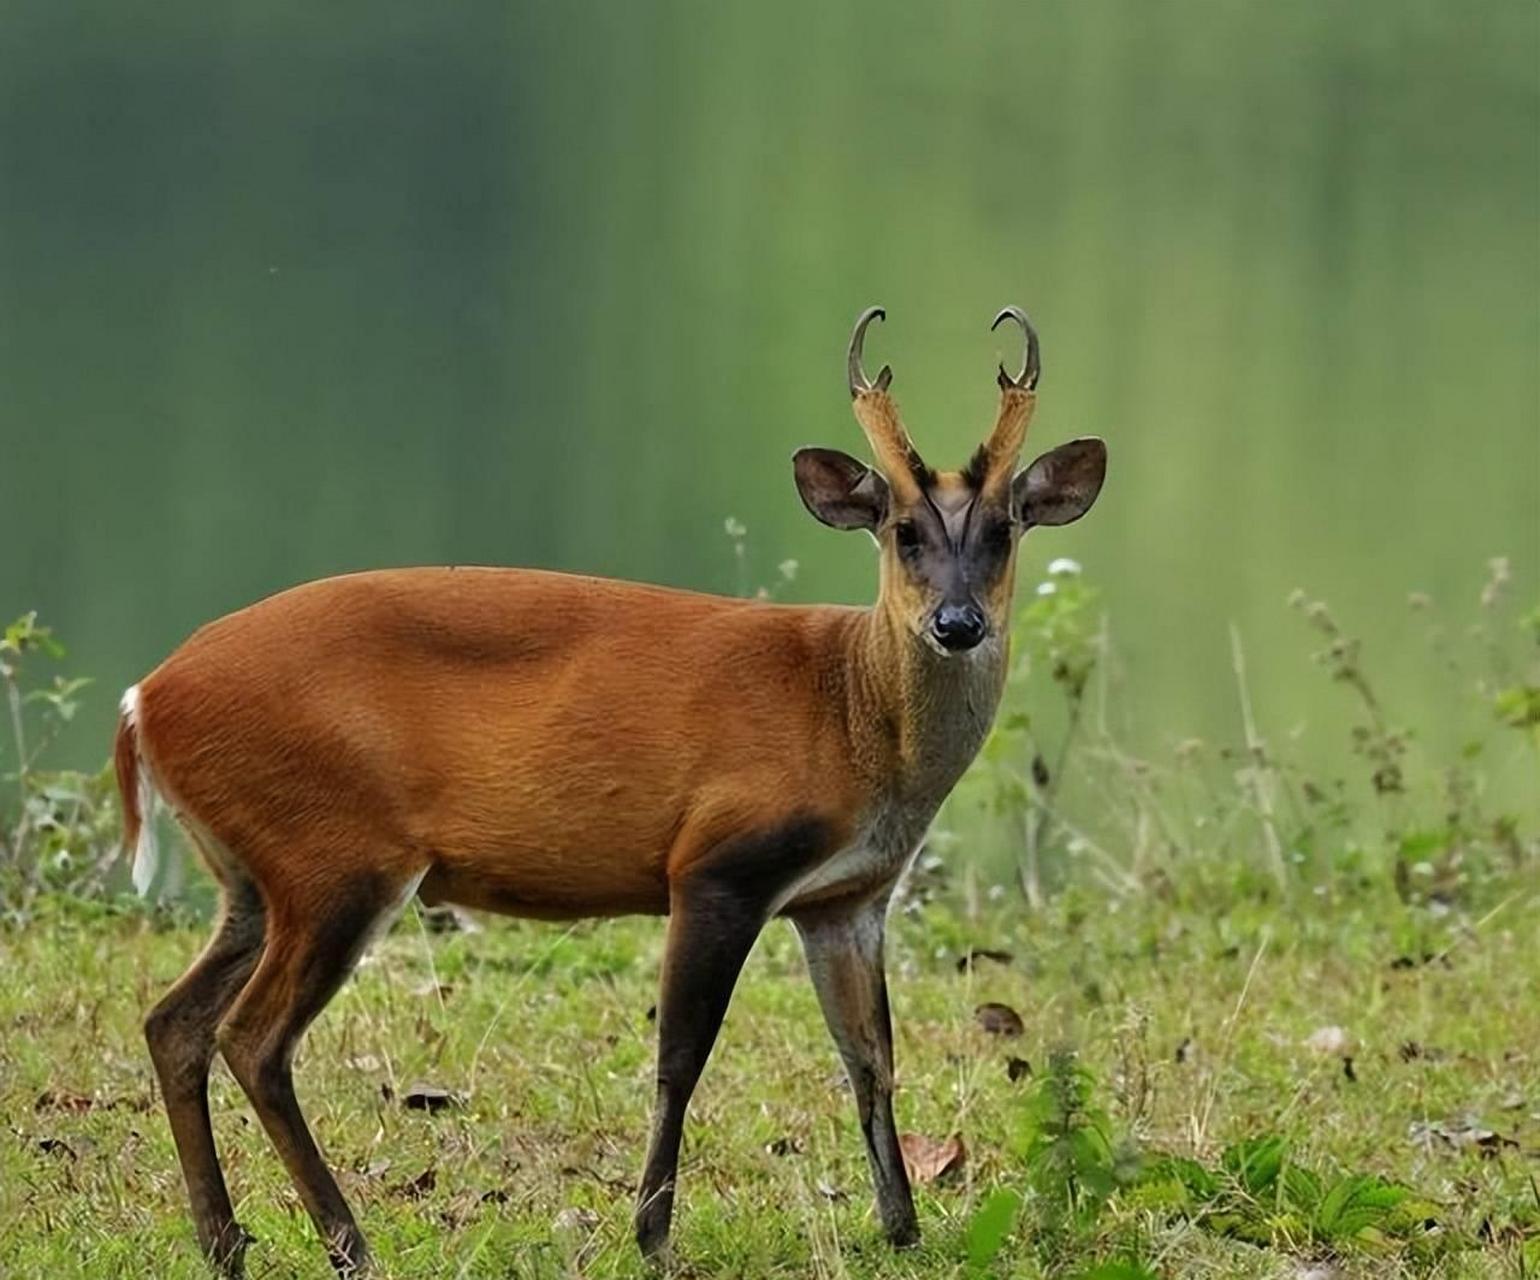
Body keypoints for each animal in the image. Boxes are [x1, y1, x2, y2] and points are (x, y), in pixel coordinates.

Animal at [117, 304, 1108, 1275]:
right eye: (903, 530)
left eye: (1003, 531)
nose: (956, 623)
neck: (849, 709)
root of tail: (145, 699)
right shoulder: (718, 863)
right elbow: (681, 1056)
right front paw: (654, 1234)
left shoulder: (847, 897)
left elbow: (870, 1058)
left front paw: (903, 1229)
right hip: (336, 855)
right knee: (253, 1038)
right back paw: (347, 1244)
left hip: (256, 874)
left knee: (175, 1021)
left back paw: (225, 1241)